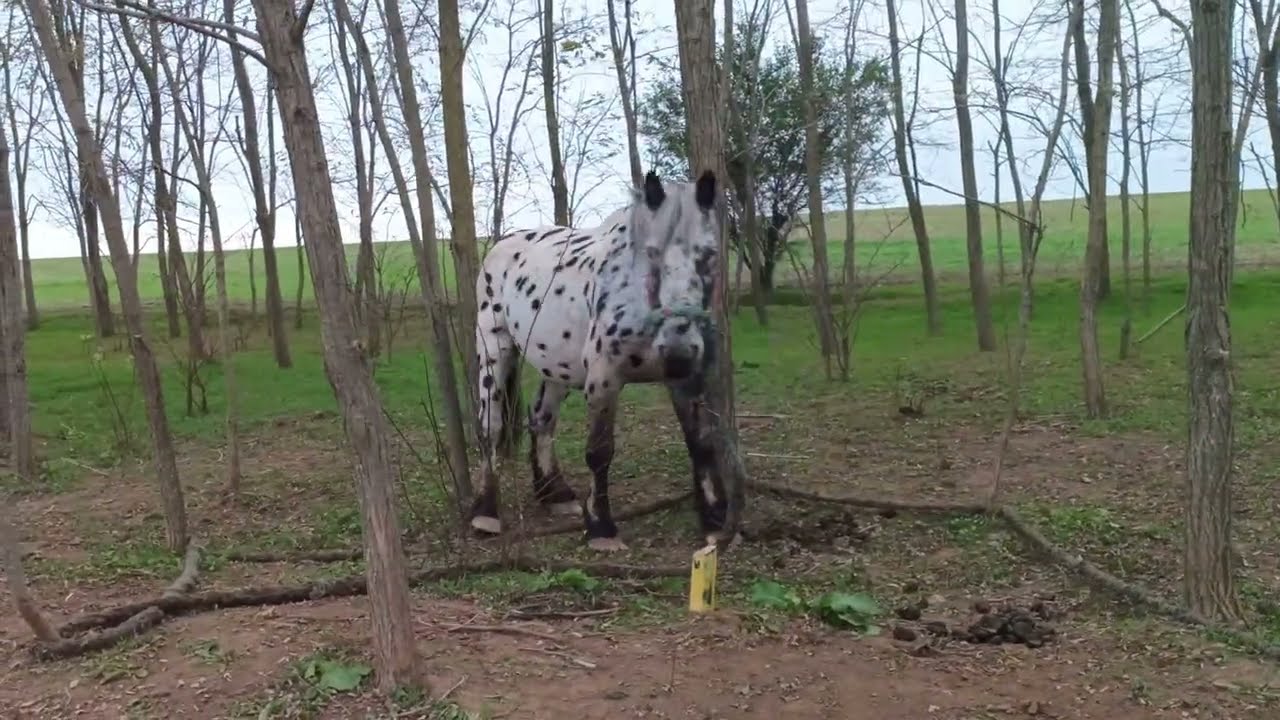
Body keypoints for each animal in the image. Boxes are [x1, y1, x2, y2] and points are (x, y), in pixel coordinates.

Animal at [469, 169, 729, 551]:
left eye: (709, 253)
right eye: (650, 253)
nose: (678, 351)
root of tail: (502, 246)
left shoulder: (687, 381)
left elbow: (701, 443)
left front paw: (715, 520)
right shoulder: (604, 379)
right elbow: (599, 451)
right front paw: (602, 528)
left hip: (557, 366)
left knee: (541, 418)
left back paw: (556, 494)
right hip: (494, 349)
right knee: (492, 425)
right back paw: (485, 512)